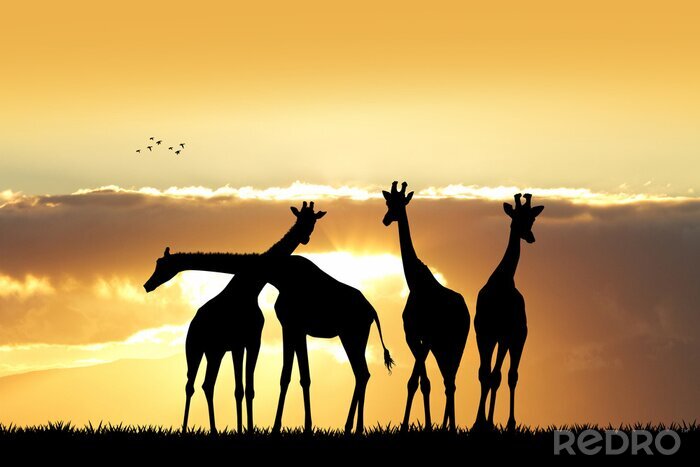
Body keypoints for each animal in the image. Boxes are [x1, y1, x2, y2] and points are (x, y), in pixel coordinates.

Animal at [144, 201, 325, 434]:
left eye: (312, 222)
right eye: (158, 264)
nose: (147, 285)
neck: (249, 287)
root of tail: (192, 323)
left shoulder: (249, 342)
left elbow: (246, 389)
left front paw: (246, 429)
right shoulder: (241, 344)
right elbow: (241, 389)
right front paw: (244, 428)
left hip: (215, 352)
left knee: (207, 384)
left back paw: (213, 430)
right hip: (194, 349)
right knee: (190, 385)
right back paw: (185, 429)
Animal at [144, 252, 395, 434]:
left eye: (161, 265)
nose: (148, 285)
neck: (278, 275)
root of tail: (372, 311)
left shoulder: (291, 326)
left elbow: (289, 376)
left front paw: (281, 428)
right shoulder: (294, 328)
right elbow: (298, 376)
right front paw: (304, 427)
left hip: (351, 335)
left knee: (361, 373)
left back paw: (352, 428)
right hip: (354, 336)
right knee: (363, 373)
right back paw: (353, 428)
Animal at [382, 181, 470, 431]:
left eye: (400, 203)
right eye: (388, 202)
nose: (386, 219)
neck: (416, 284)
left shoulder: (428, 337)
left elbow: (419, 380)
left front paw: (417, 426)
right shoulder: (412, 335)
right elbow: (420, 382)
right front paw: (413, 426)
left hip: (456, 343)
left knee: (451, 380)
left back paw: (450, 428)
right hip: (442, 346)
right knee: (448, 379)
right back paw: (445, 426)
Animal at [473, 193, 544, 431]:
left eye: (532, 219)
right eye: (516, 218)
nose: (530, 237)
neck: (501, 282)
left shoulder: (504, 335)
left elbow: (495, 376)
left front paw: (486, 422)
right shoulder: (483, 333)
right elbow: (484, 374)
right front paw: (478, 423)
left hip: (519, 337)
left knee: (511, 375)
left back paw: (510, 423)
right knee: (500, 375)